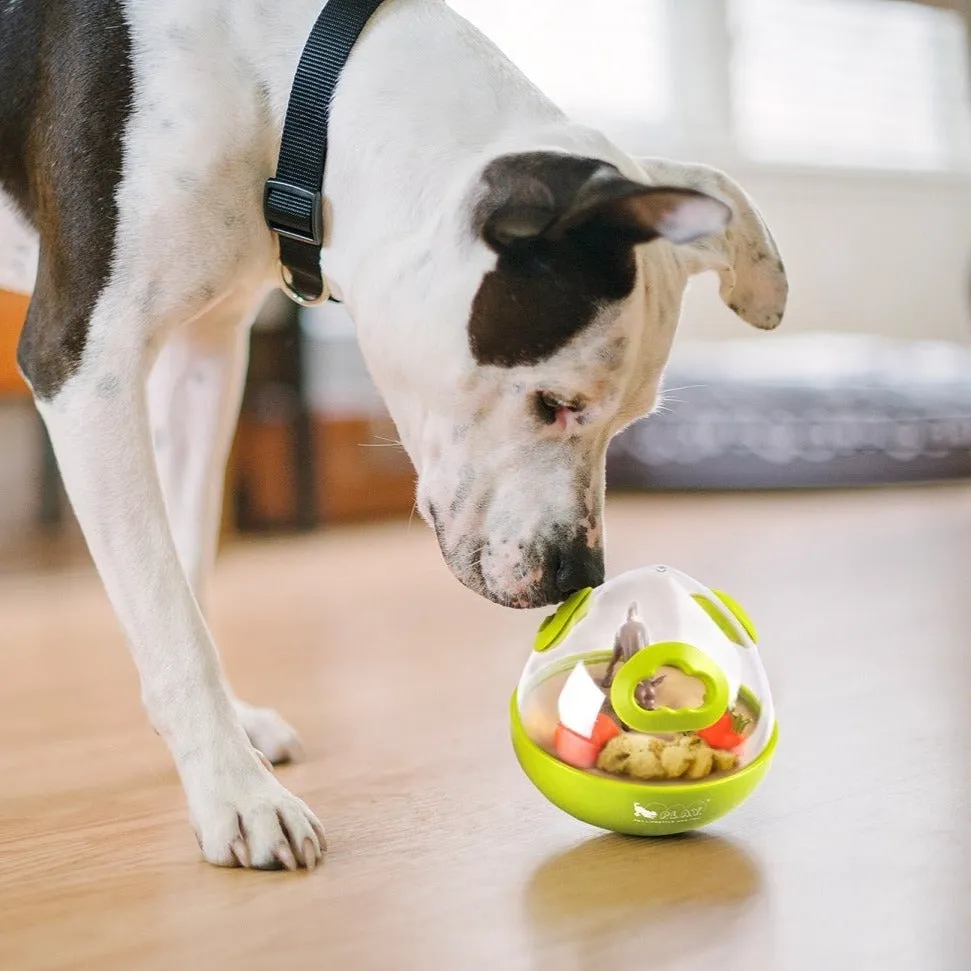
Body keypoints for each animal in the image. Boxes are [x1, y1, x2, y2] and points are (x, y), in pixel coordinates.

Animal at [0, 0, 788, 868]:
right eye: (554, 401)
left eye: (629, 420)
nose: (577, 574)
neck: (285, 85)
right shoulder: (87, 366)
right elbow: (169, 615)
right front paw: (235, 792)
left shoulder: (205, 355)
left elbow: (186, 571)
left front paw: (227, 738)